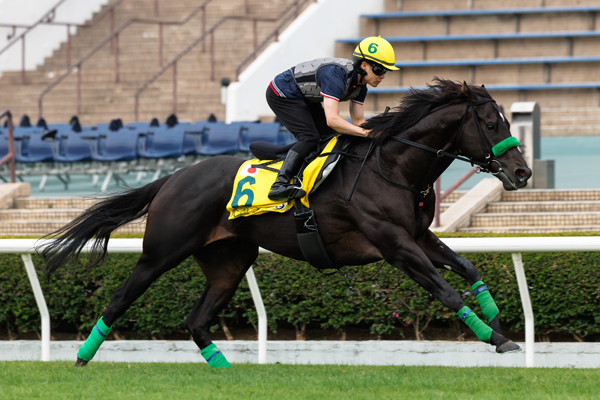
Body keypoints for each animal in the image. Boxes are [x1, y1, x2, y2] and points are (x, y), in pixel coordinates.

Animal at [39, 76, 532, 368]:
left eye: (508, 120)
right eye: (492, 124)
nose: (523, 172)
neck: (392, 165)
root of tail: (175, 177)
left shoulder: (417, 235)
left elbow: (467, 267)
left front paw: (494, 314)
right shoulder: (394, 244)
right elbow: (445, 290)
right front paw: (495, 337)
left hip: (230, 261)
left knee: (196, 320)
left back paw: (227, 372)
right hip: (162, 252)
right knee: (120, 298)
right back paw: (82, 356)